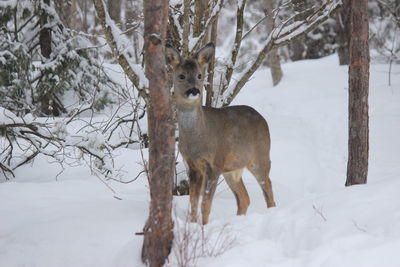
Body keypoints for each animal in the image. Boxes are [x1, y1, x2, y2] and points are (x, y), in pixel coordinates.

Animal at [166, 42, 276, 226]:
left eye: (199, 75)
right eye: (181, 76)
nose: (194, 90)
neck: (197, 139)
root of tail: (263, 119)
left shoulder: (215, 163)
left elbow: (205, 203)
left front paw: (203, 227)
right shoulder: (192, 166)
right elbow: (193, 202)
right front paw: (193, 225)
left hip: (260, 157)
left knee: (267, 187)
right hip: (232, 169)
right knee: (244, 198)